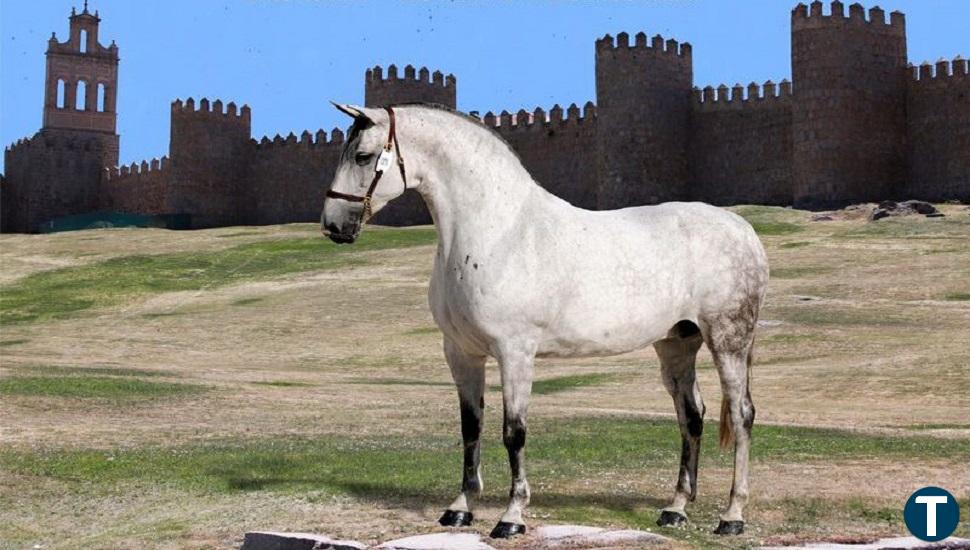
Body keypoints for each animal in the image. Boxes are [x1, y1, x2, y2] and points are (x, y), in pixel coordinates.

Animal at [322, 102, 768, 540]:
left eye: (363, 156)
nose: (332, 225)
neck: (497, 233)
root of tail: (743, 230)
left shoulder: (515, 352)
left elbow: (513, 431)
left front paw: (511, 516)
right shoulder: (461, 353)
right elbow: (471, 428)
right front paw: (460, 509)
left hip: (728, 339)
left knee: (742, 414)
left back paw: (732, 515)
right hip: (677, 343)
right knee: (691, 415)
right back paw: (675, 509)